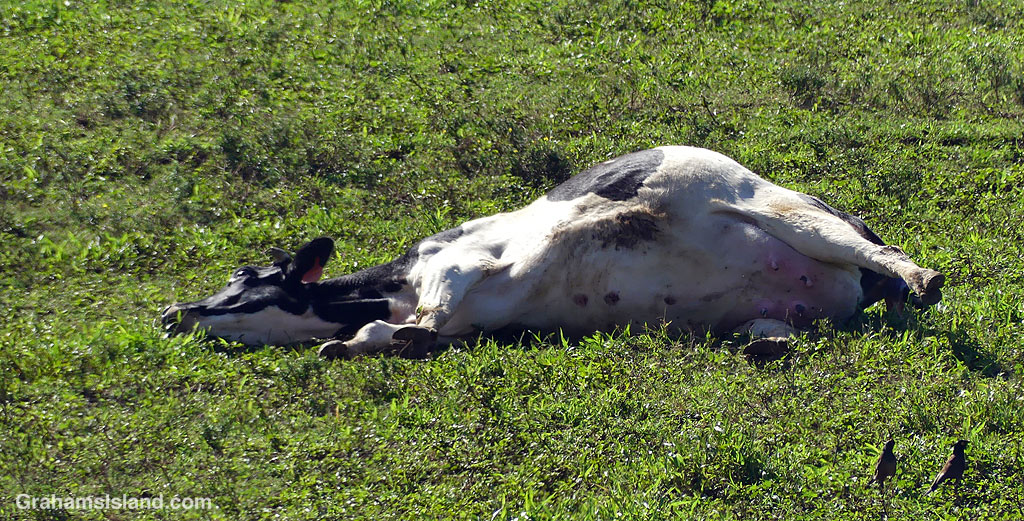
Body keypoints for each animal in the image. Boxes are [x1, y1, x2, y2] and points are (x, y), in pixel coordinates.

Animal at [161, 146, 944, 358]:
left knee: (888, 257)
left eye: (243, 277)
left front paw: (388, 335)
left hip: (786, 213)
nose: (173, 312)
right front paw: (359, 343)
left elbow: (432, 309)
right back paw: (766, 345)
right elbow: (397, 333)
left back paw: (924, 276)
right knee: (781, 327)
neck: (396, 284)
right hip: (774, 308)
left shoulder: (463, 259)